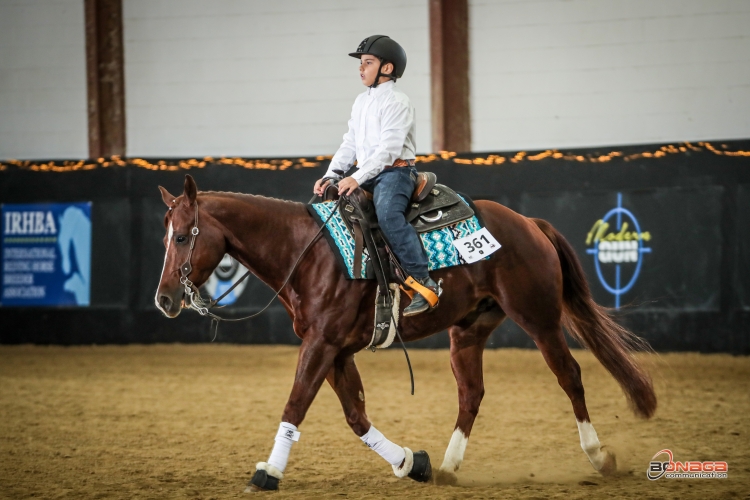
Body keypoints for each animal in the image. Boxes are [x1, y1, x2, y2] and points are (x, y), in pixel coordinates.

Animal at [154, 176, 656, 492]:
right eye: (164, 238)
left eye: (181, 237)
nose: (164, 300)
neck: (308, 253)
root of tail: (529, 223)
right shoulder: (336, 351)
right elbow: (356, 416)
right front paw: (411, 463)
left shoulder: (322, 344)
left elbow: (296, 404)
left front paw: (269, 472)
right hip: (469, 330)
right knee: (471, 393)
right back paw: (448, 467)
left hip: (540, 319)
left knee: (570, 375)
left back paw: (599, 456)